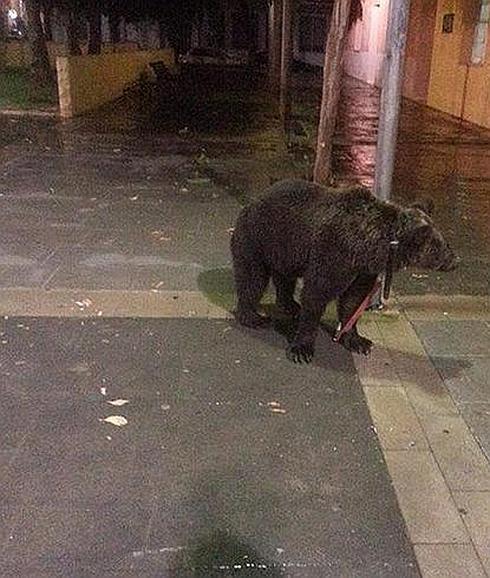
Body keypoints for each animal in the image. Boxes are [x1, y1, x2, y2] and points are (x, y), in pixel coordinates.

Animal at [232, 178, 458, 362]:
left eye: (445, 242)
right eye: (438, 247)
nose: (455, 260)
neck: (372, 245)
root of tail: (251, 202)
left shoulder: (363, 269)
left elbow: (354, 300)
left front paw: (358, 341)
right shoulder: (335, 252)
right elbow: (317, 293)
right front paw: (302, 349)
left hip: (286, 249)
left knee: (285, 278)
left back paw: (290, 305)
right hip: (257, 238)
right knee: (253, 279)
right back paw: (254, 317)